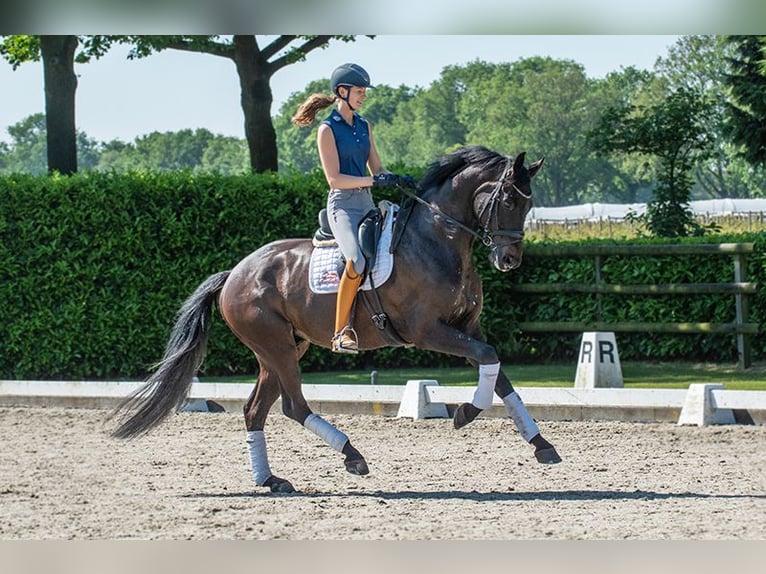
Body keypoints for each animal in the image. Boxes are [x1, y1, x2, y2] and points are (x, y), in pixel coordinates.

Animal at [109, 145, 564, 496]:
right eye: (509, 200)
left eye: (529, 204)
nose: (509, 260)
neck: (437, 240)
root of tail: (234, 273)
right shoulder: (429, 331)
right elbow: (489, 360)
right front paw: (465, 413)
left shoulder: (467, 327)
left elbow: (499, 373)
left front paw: (541, 444)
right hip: (275, 345)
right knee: (293, 406)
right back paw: (352, 456)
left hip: (280, 349)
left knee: (256, 410)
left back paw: (271, 481)